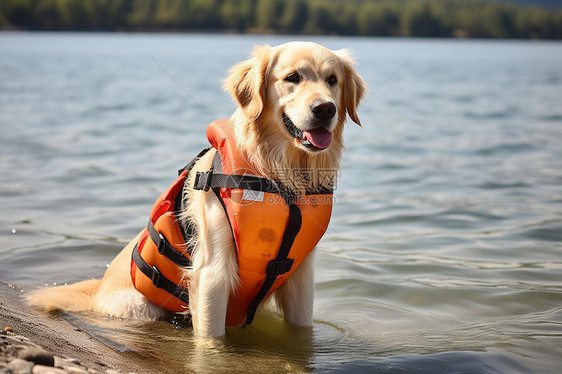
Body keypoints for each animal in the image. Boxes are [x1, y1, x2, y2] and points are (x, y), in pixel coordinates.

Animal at [28, 42, 366, 338]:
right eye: (292, 77)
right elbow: (212, 341)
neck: (280, 177)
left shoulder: (300, 279)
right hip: (142, 306)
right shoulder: (212, 274)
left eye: (332, 80)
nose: (325, 109)